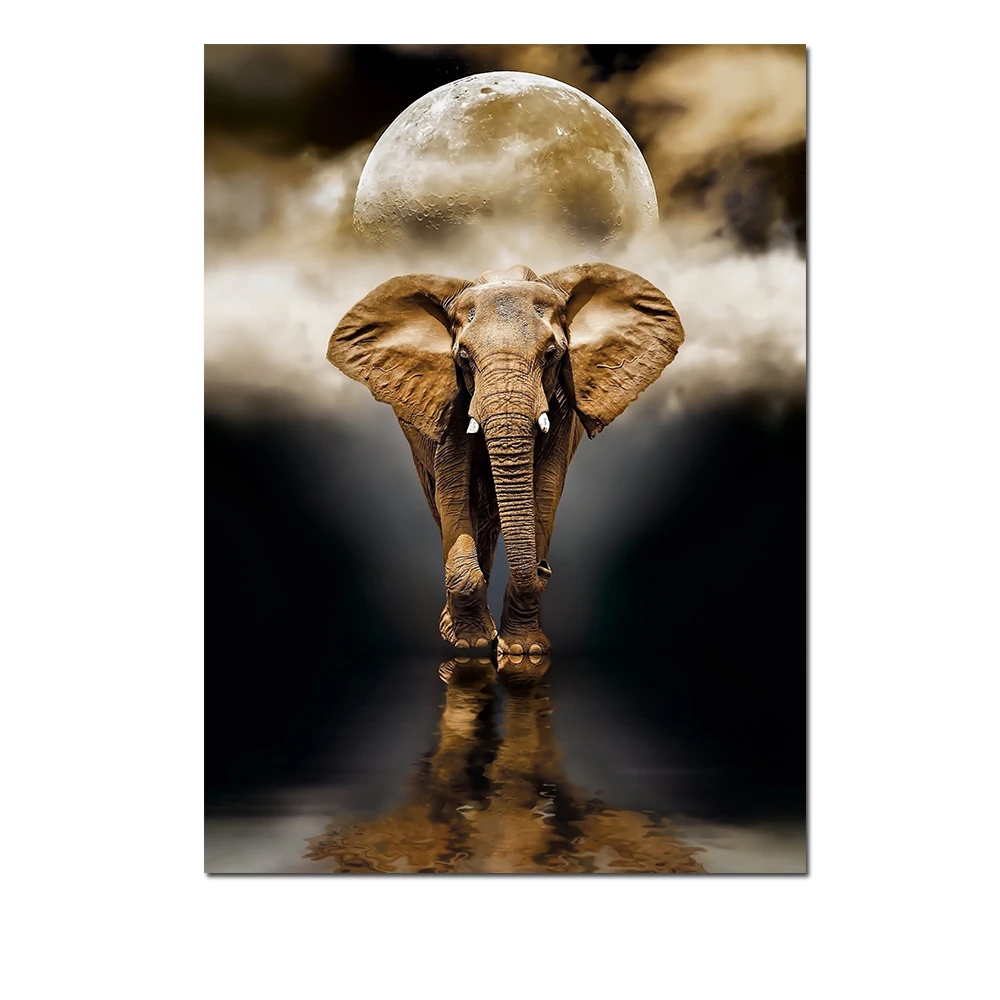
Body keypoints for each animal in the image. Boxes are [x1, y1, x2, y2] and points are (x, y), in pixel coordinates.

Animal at [327, 263, 685, 654]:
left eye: (551, 355)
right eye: (463, 358)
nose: (544, 567)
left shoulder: (561, 404)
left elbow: (545, 489)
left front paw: (521, 652)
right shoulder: (452, 398)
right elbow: (453, 490)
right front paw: (470, 645)